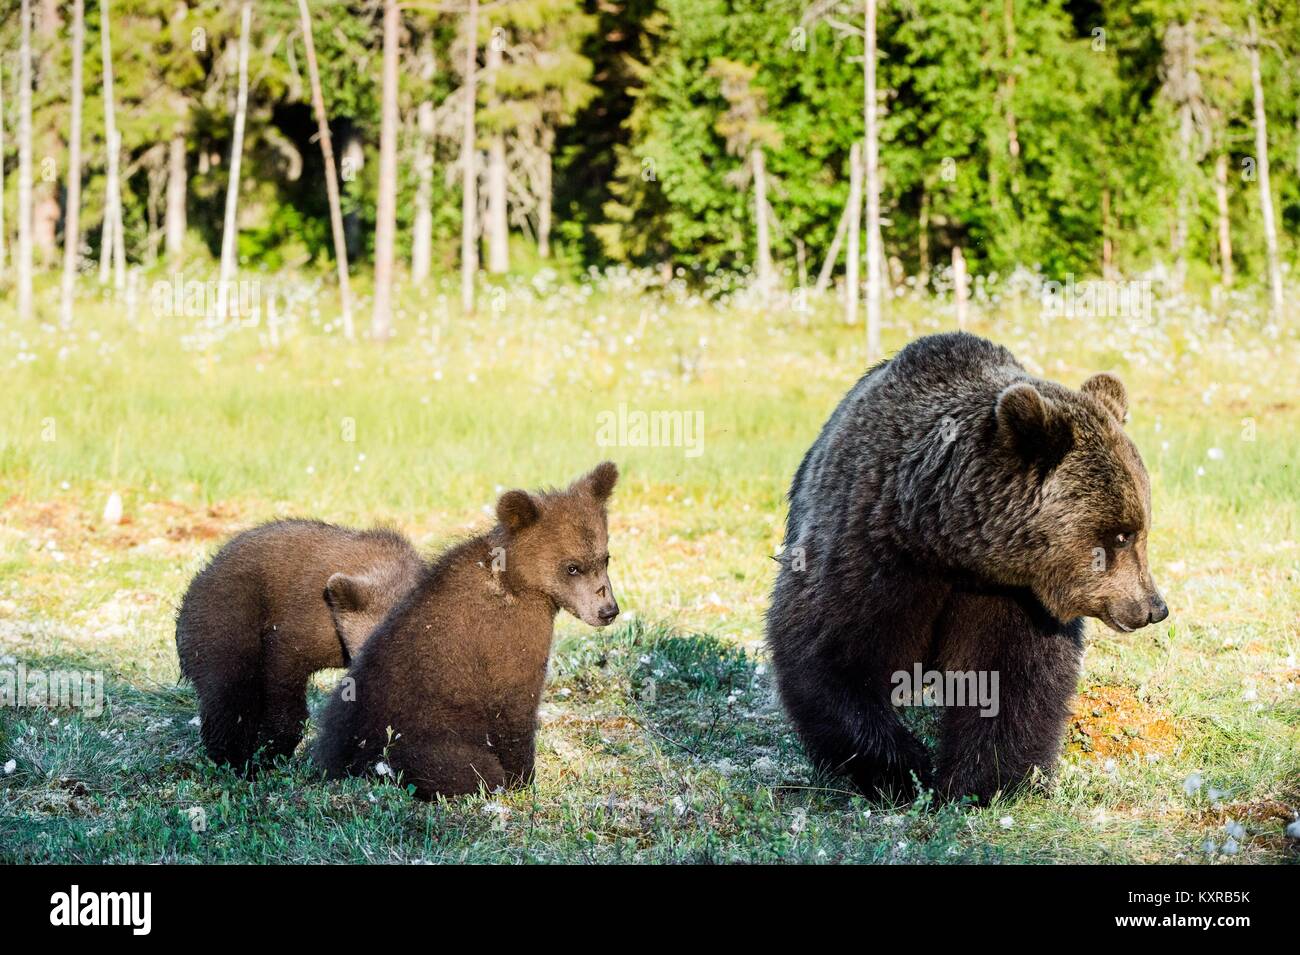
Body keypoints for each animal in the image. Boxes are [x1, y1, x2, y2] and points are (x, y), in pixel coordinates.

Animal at [176, 519, 422, 769]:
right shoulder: (308, 620)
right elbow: (284, 670)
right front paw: (274, 746)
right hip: (225, 615)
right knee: (229, 689)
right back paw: (232, 757)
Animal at [311, 462, 620, 800]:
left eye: (605, 557)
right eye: (572, 567)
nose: (608, 611)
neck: (517, 582)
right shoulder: (508, 640)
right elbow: (515, 709)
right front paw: (523, 779)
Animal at [766, 332, 1167, 804]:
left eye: (1142, 529)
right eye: (1122, 535)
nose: (1153, 607)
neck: (944, 541)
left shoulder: (1009, 594)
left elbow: (1010, 679)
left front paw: (981, 781)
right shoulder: (868, 550)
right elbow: (829, 651)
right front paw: (902, 769)